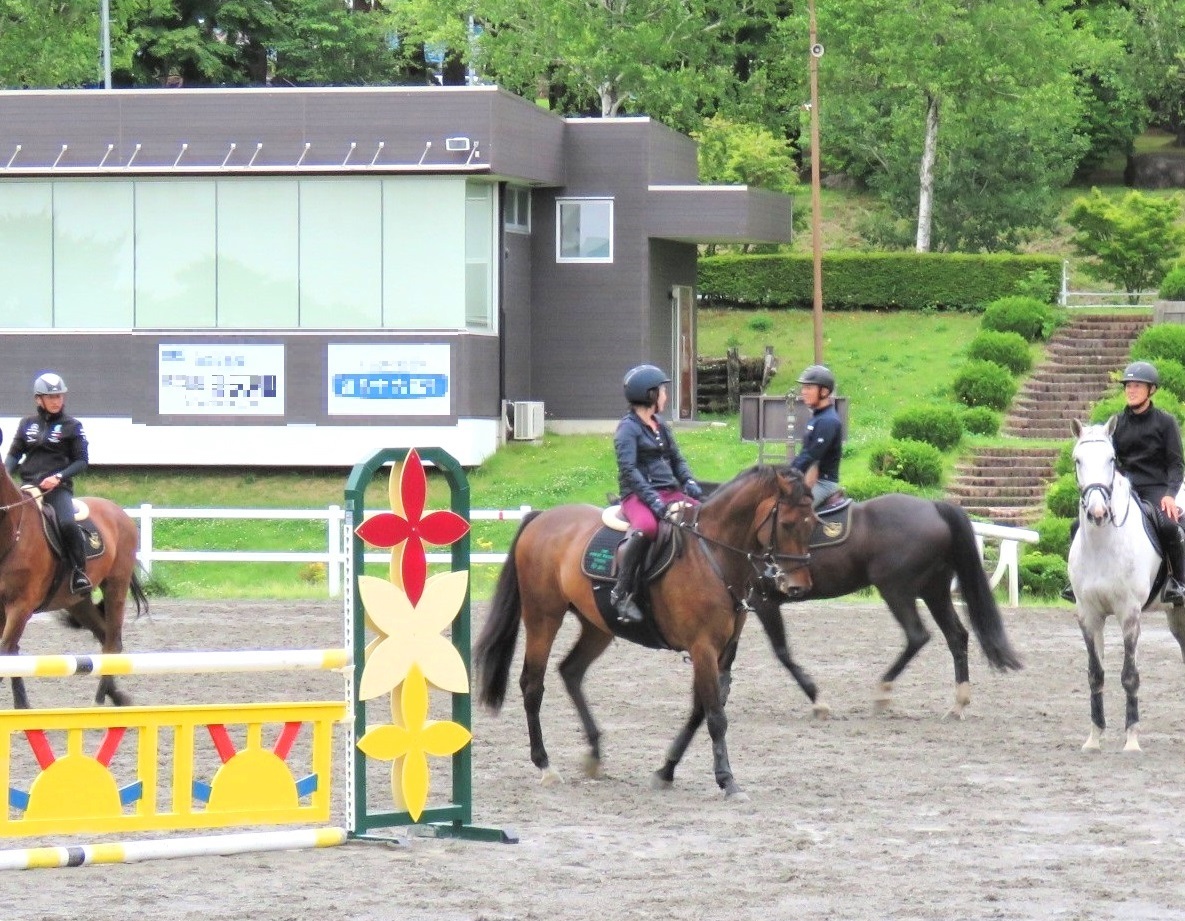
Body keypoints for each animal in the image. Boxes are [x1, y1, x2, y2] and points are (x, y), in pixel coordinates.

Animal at [0, 464, 148, 706]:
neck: (13, 534)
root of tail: (117, 511)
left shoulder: (20, 607)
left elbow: (7, 653)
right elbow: (11, 654)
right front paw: (22, 705)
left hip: (116, 586)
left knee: (112, 644)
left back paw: (100, 700)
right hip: (78, 602)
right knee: (104, 636)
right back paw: (116, 696)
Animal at [471, 467, 815, 796]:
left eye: (813, 523)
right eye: (786, 524)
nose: (798, 586)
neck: (713, 556)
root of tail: (541, 517)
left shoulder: (723, 650)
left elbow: (699, 710)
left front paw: (666, 770)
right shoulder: (702, 647)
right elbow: (716, 716)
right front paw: (727, 781)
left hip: (597, 626)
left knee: (571, 671)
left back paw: (594, 753)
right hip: (543, 617)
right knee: (533, 685)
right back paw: (545, 765)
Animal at [1066, 419, 1185, 749]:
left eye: (1111, 459)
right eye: (1077, 460)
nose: (1097, 513)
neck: (1103, 544)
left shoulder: (1129, 614)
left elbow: (1130, 675)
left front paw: (1132, 739)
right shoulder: (1089, 615)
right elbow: (1095, 674)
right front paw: (1094, 738)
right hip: (1176, 615)